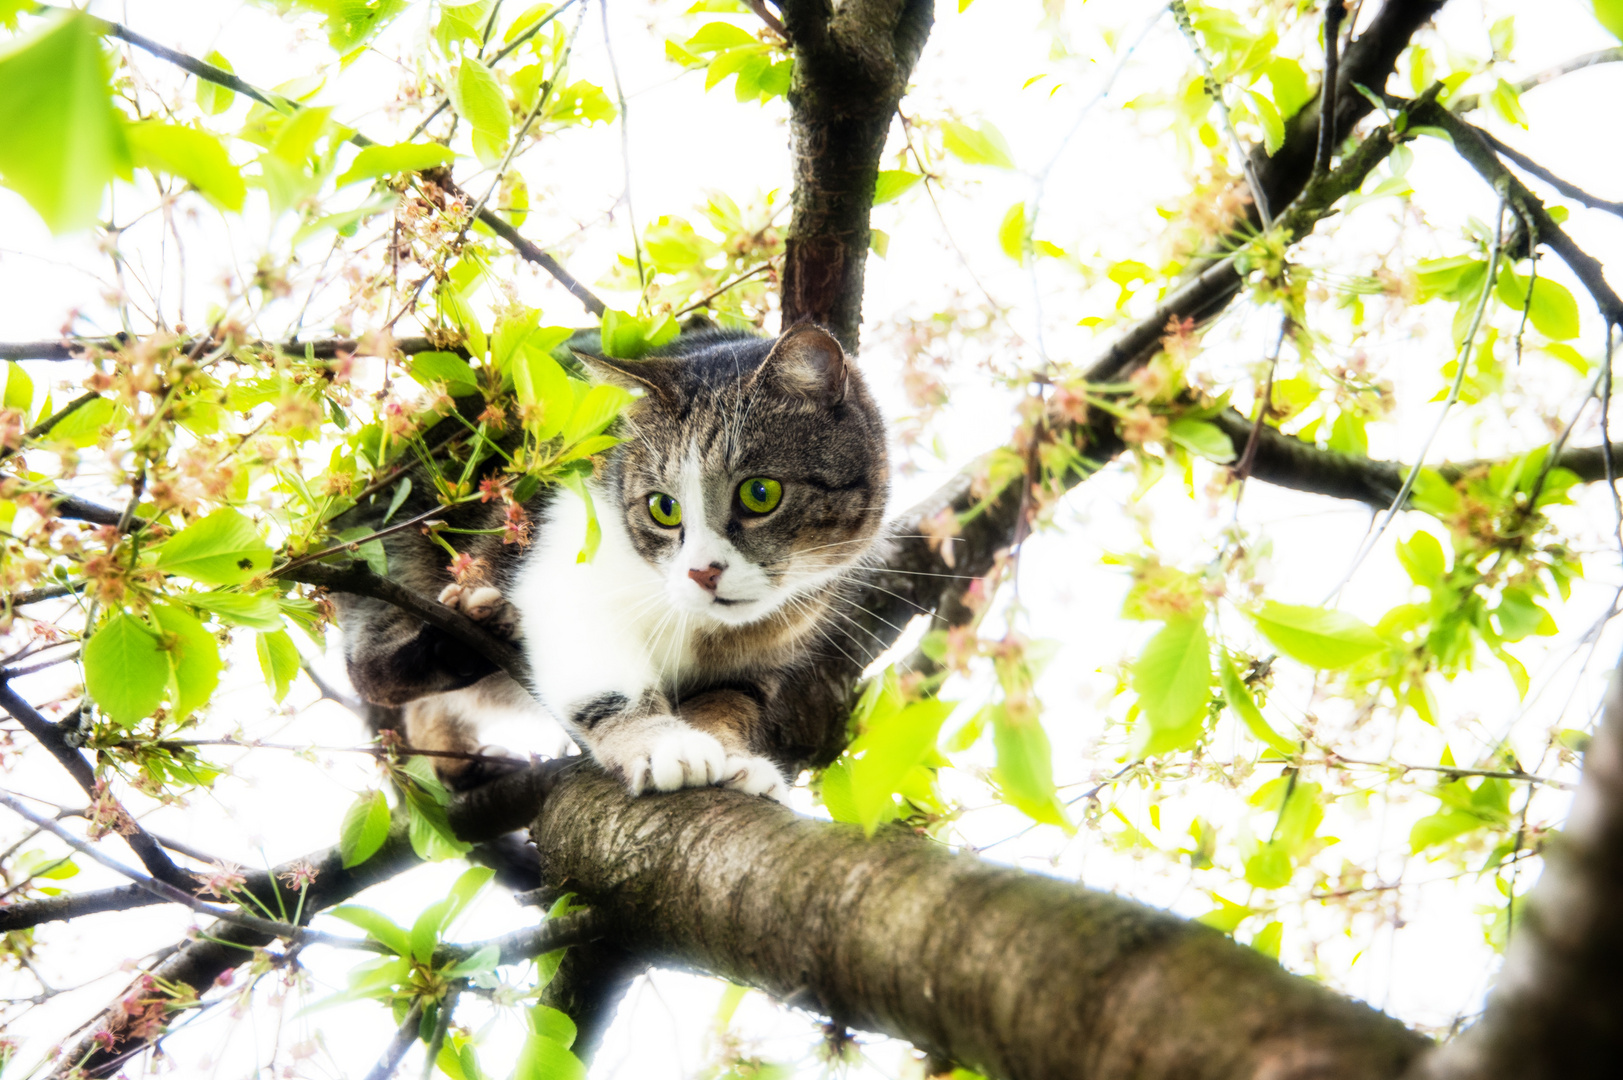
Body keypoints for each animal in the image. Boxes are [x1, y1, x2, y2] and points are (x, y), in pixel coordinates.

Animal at [331, 319, 889, 799]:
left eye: (760, 494)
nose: (702, 572)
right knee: (368, 663)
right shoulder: (562, 565)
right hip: (395, 543)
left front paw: (736, 762)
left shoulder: (755, 665)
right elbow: (605, 682)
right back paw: (463, 638)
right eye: (663, 507)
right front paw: (664, 742)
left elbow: (729, 708)